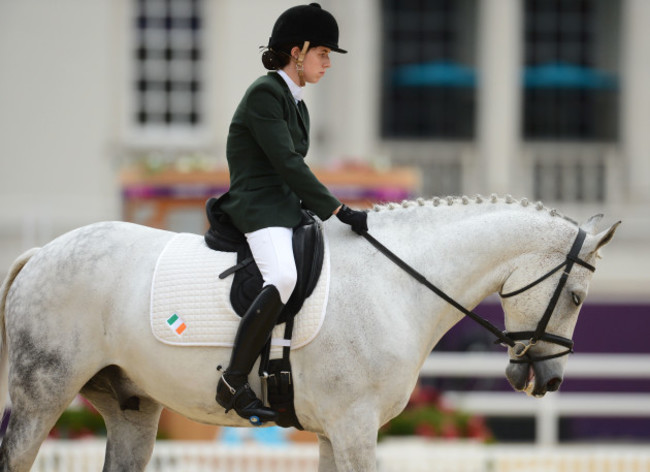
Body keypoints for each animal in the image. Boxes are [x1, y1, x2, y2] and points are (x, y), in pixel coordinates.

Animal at [0, 195, 616, 468]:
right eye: (577, 298)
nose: (546, 380)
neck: (396, 281)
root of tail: (41, 252)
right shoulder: (354, 428)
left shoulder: (330, 431)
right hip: (42, 397)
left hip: (131, 409)